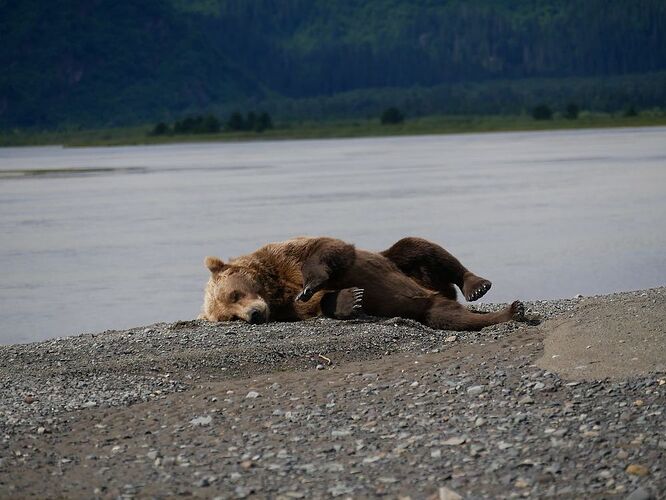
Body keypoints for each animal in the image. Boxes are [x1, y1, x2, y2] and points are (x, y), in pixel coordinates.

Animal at [198, 235, 524, 330]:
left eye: (235, 293)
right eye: (230, 317)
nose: (254, 315)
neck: (274, 287)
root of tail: (433, 292)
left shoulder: (288, 254)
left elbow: (326, 251)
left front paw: (310, 284)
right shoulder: (289, 308)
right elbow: (319, 304)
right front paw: (350, 300)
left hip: (404, 263)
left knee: (422, 248)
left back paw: (477, 286)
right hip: (430, 305)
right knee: (449, 315)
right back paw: (508, 312)